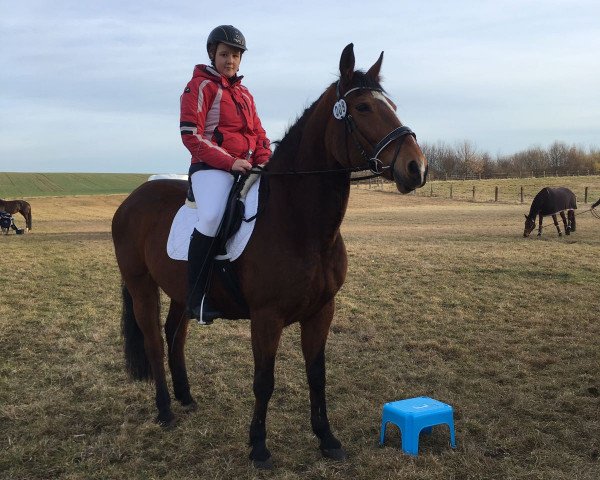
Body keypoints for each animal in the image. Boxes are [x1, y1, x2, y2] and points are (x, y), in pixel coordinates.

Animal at [109, 42, 426, 468]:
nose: (417, 167)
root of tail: (132, 200)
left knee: (174, 336)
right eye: (362, 107)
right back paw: (165, 410)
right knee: (154, 343)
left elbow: (317, 374)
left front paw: (327, 439)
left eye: (391, 104)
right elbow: (264, 381)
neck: (300, 225)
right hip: (141, 285)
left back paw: (186, 398)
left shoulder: (321, 311)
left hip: (180, 292)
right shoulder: (266, 318)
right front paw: (258, 446)